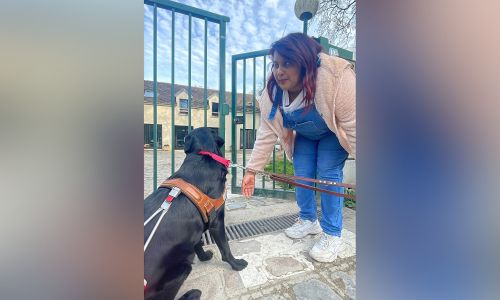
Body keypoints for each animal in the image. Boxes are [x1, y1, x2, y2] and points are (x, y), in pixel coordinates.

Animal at [144, 127, 247, 300]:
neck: (201, 155)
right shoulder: (216, 222)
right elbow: (225, 248)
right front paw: (236, 265)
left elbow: (198, 243)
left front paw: (204, 257)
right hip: (181, 269)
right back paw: (192, 294)